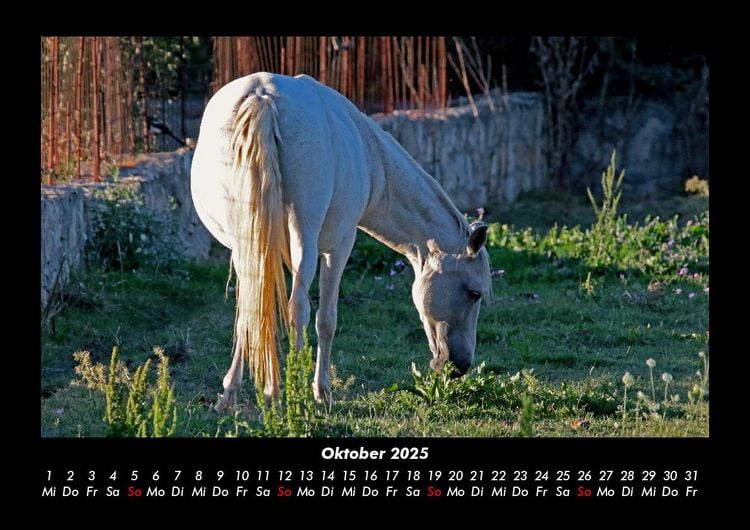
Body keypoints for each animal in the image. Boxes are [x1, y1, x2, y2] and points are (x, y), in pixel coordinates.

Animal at [191, 72, 492, 411]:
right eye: (474, 293)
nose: (460, 366)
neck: (373, 160)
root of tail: (262, 96)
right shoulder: (339, 246)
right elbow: (326, 320)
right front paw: (321, 392)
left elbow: (251, 311)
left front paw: (231, 394)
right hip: (304, 241)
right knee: (298, 308)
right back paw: (291, 396)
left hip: (248, 242)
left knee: (252, 308)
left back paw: (239, 396)